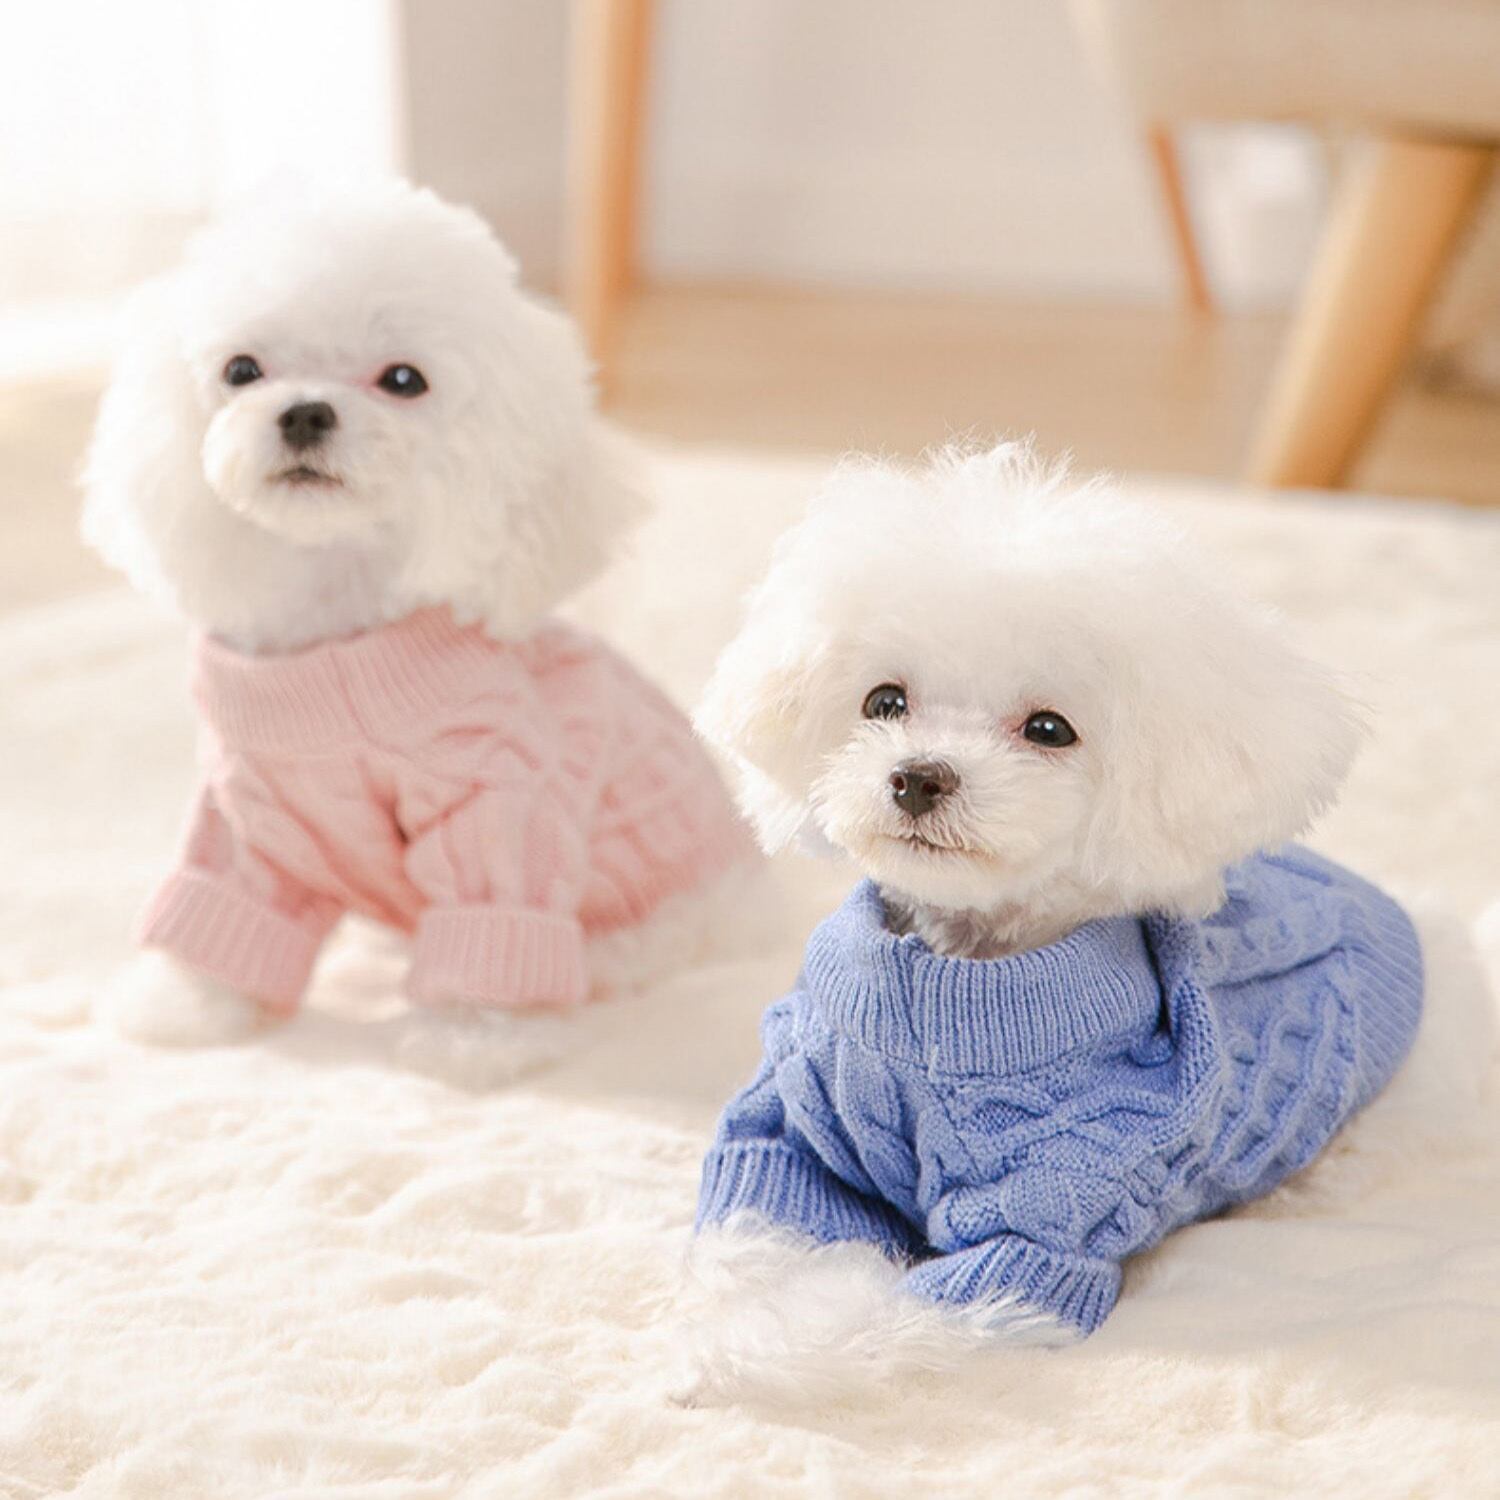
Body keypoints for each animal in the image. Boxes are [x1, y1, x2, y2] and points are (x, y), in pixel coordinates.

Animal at [82, 182, 752, 1079]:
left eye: (404, 379)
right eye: (241, 370)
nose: (304, 413)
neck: (336, 634)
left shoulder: (498, 801)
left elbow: (494, 922)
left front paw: (479, 1034)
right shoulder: (251, 814)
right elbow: (227, 903)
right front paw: (189, 1003)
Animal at [676, 443, 1493, 1406]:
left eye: (1048, 728)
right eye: (883, 703)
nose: (918, 776)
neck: (955, 988)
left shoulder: (1044, 1232)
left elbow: (887, 1318)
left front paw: (749, 1354)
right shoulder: (791, 1137)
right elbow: (760, 1232)